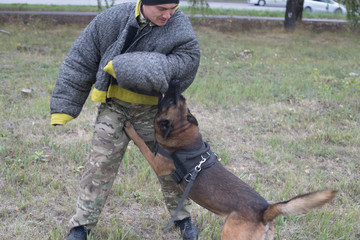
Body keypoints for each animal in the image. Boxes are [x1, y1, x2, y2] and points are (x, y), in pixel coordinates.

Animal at [124, 80, 338, 240]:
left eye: (169, 101)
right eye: (178, 99)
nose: (175, 82)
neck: (182, 130)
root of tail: (264, 211)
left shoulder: (158, 163)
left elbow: (141, 143)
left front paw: (129, 127)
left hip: (230, 235)